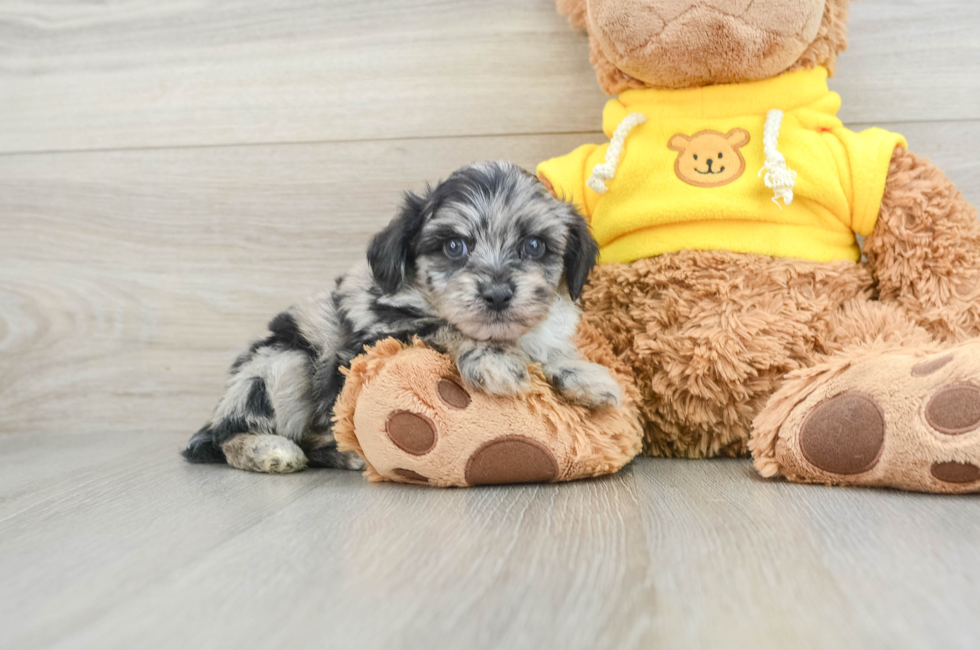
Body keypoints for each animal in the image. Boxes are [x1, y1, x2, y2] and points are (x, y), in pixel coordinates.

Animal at [184, 162, 624, 474]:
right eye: (453, 246)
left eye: (534, 245)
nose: (498, 294)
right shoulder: (378, 334)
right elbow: (445, 327)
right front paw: (494, 359)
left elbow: (549, 350)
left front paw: (583, 374)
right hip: (284, 364)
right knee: (227, 435)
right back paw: (270, 451)